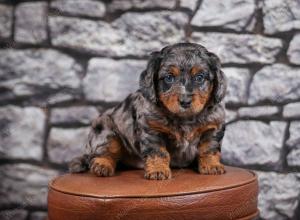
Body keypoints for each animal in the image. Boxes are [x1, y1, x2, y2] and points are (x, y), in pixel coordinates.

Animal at [68, 43, 227, 180]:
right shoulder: (151, 129)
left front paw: (212, 166)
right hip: (105, 130)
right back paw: (102, 165)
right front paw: (158, 171)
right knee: (104, 152)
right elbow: (158, 152)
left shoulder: (214, 126)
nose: (185, 101)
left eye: (199, 77)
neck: (184, 118)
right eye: (169, 78)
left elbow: (209, 148)